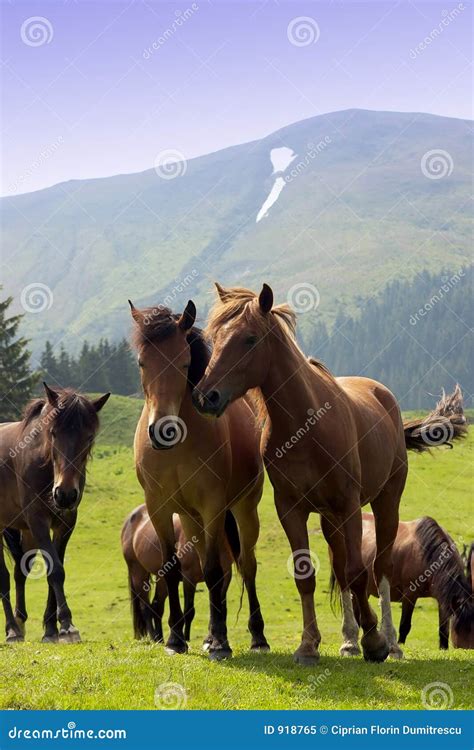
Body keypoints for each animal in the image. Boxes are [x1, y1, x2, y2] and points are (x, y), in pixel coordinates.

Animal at [0, 384, 109, 643]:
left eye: (89, 437)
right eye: (53, 433)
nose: (65, 494)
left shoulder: (65, 523)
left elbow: (55, 568)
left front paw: (51, 628)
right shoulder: (38, 521)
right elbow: (55, 571)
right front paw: (68, 625)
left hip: (25, 532)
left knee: (20, 570)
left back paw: (20, 623)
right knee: (3, 577)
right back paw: (11, 630)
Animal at [121, 504, 233, 642]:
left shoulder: (226, 576)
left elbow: (221, 608)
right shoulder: (189, 577)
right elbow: (189, 611)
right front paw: (186, 638)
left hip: (162, 579)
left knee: (157, 606)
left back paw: (160, 639)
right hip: (138, 573)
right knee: (145, 608)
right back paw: (154, 637)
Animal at [330, 513, 473, 649]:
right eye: (459, 628)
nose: (468, 648)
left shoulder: (442, 599)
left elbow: (443, 630)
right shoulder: (410, 595)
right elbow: (405, 625)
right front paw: (399, 645)